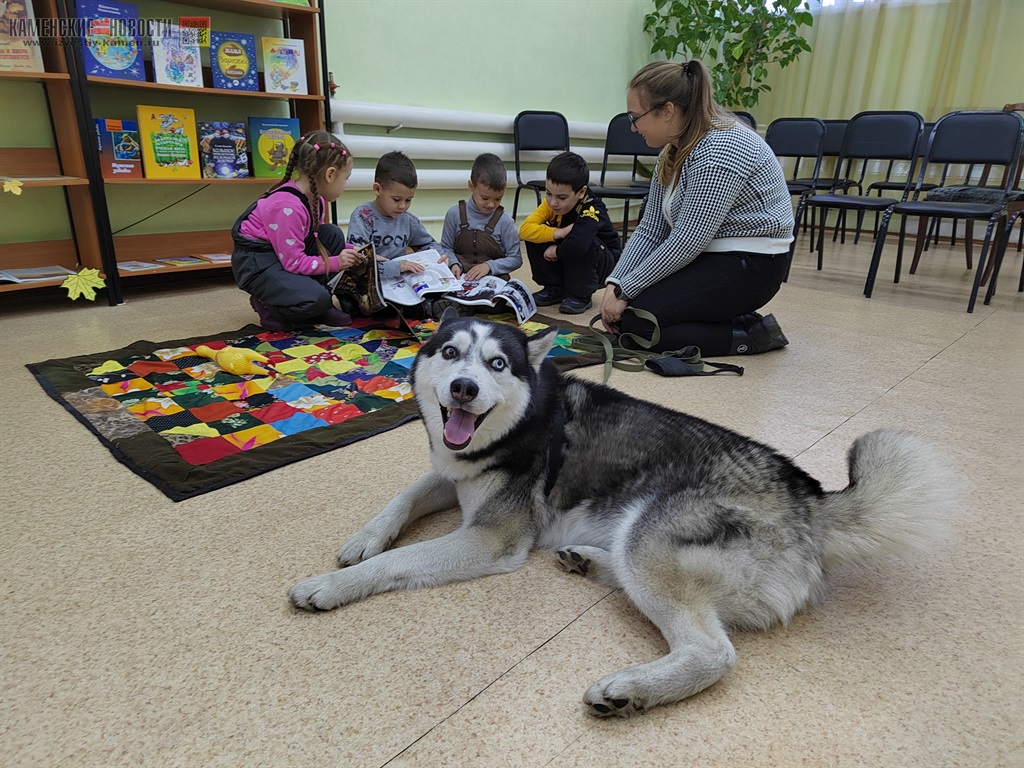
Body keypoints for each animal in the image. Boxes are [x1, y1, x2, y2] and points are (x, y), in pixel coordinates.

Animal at [288, 311, 950, 716]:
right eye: (450, 353)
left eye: (498, 364)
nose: (463, 390)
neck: (524, 421)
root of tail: (810, 496)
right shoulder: (455, 476)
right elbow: (403, 498)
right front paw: (364, 538)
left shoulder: (491, 536)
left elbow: (399, 561)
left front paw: (330, 586)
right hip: (643, 541)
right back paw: (585, 559)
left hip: (652, 533)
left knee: (711, 651)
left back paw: (630, 690)